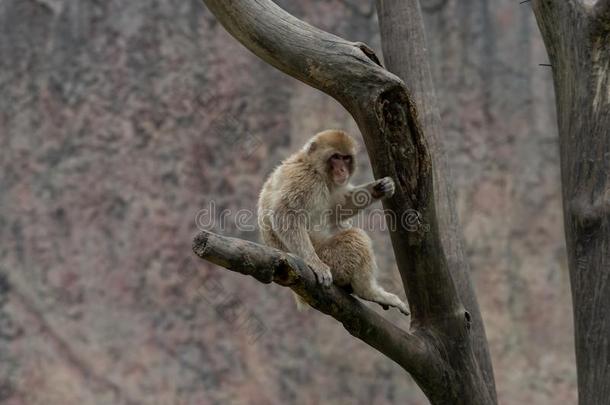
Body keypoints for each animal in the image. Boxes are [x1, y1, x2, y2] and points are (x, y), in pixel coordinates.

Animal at [256, 128, 408, 314]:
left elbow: (336, 210)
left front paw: (380, 188)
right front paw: (314, 263)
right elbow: (284, 214)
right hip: (331, 258)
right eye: (335, 157)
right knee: (354, 238)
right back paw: (369, 292)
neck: (314, 168)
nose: (342, 170)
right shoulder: (305, 181)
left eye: (346, 158)